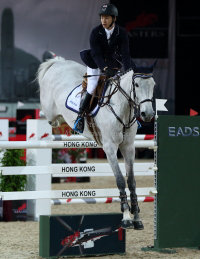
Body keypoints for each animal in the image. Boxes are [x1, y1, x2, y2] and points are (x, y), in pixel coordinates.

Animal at [37, 56, 156, 230]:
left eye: (153, 85)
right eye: (136, 85)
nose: (147, 114)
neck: (122, 108)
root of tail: (58, 62)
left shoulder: (128, 147)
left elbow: (132, 181)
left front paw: (137, 219)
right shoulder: (110, 148)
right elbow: (120, 180)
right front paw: (126, 218)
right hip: (49, 111)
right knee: (49, 117)